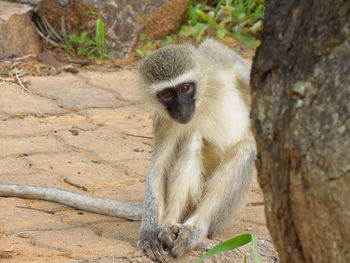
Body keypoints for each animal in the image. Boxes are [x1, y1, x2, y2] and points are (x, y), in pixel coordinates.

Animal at [0, 39, 256, 263]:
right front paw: (149, 235)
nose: (182, 109)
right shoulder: (164, 118)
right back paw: (168, 226)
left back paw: (194, 229)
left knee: (244, 149)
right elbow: (159, 165)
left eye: (185, 88)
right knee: (191, 140)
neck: (203, 97)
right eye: (167, 94)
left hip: (227, 214)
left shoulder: (220, 59)